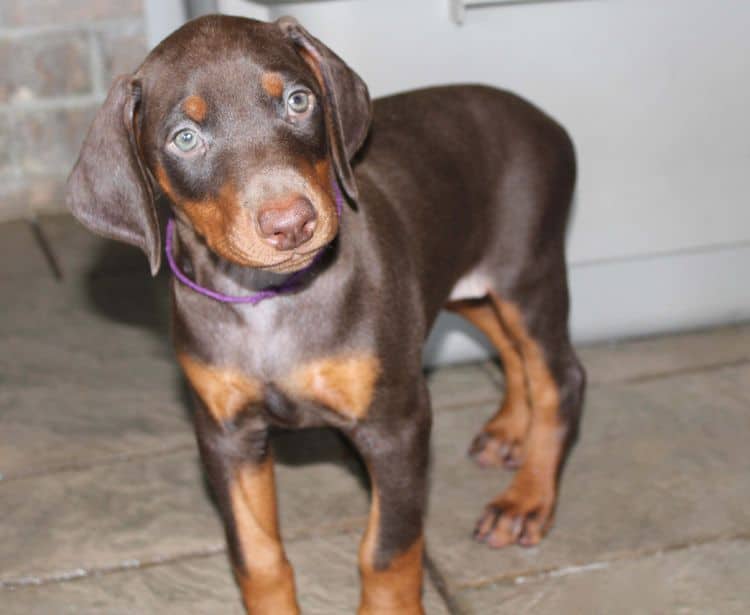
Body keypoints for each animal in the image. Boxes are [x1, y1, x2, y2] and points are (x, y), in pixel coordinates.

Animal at [66, 14, 588, 615]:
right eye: (185, 138)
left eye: (298, 101)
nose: (290, 223)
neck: (269, 301)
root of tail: (546, 121)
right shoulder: (225, 433)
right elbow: (257, 556)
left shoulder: (396, 423)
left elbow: (387, 551)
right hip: (466, 283)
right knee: (510, 348)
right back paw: (509, 432)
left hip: (526, 271)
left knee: (560, 375)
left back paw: (526, 499)